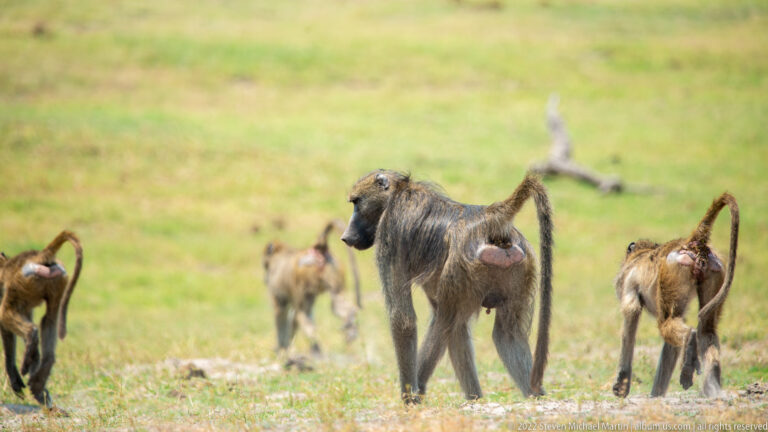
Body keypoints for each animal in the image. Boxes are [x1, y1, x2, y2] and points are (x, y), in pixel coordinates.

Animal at [0, 230, 83, 408]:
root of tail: (38, 256)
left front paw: (15, 379)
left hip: (22, 283)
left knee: (8, 317)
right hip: (56, 281)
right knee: (48, 320)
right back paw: (39, 382)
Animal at [263, 219, 362, 359]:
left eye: (265, 265)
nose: (265, 279)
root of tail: (319, 248)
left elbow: (280, 312)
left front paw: (281, 349)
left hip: (304, 278)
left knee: (302, 315)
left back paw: (316, 348)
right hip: (332, 270)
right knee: (335, 303)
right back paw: (350, 322)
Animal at [341, 170, 553, 404]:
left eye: (357, 202)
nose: (345, 237)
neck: (399, 192)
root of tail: (487, 219)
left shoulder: (390, 233)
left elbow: (403, 319)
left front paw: (409, 398)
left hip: (461, 266)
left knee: (447, 321)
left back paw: (421, 389)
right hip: (517, 264)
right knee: (505, 333)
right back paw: (525, 395)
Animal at [612, 193, 738, 398]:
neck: (641, 255)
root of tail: (693, 242)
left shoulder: (629, 283)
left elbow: (631, 315)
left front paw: (622, 385)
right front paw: (656, 396)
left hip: (672, 272)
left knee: (669, 323)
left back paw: (689, 343)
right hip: (714, 270)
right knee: (706, 328)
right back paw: (712, 388)